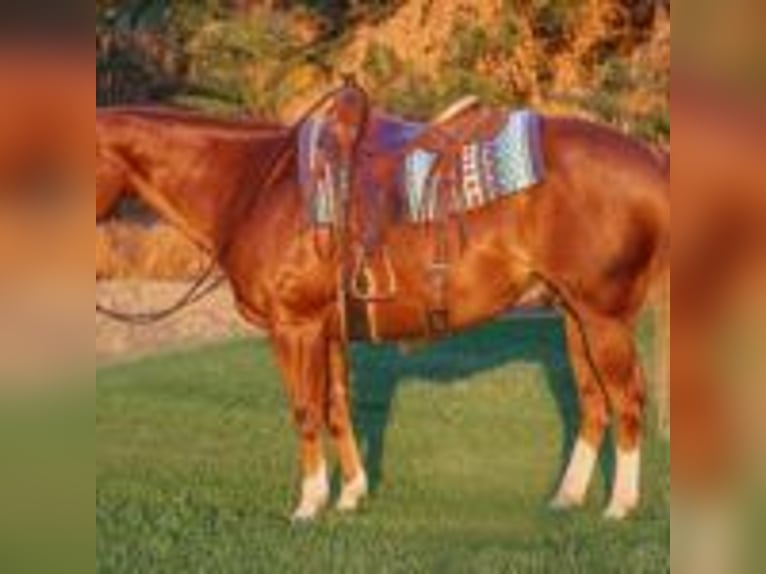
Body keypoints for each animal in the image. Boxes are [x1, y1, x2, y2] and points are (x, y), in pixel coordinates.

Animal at [96, 90, 670, 523]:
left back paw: (620, 506)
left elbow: (305, 410)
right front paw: (351, 494)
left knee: (627, 400)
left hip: (603, 317)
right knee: (594, 403)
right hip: (574, 313)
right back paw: (567, 497)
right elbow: (337, 408)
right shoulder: (327, 329)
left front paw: (308, 504)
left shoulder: (295, 326)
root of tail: (651, 159)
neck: (255, 186)